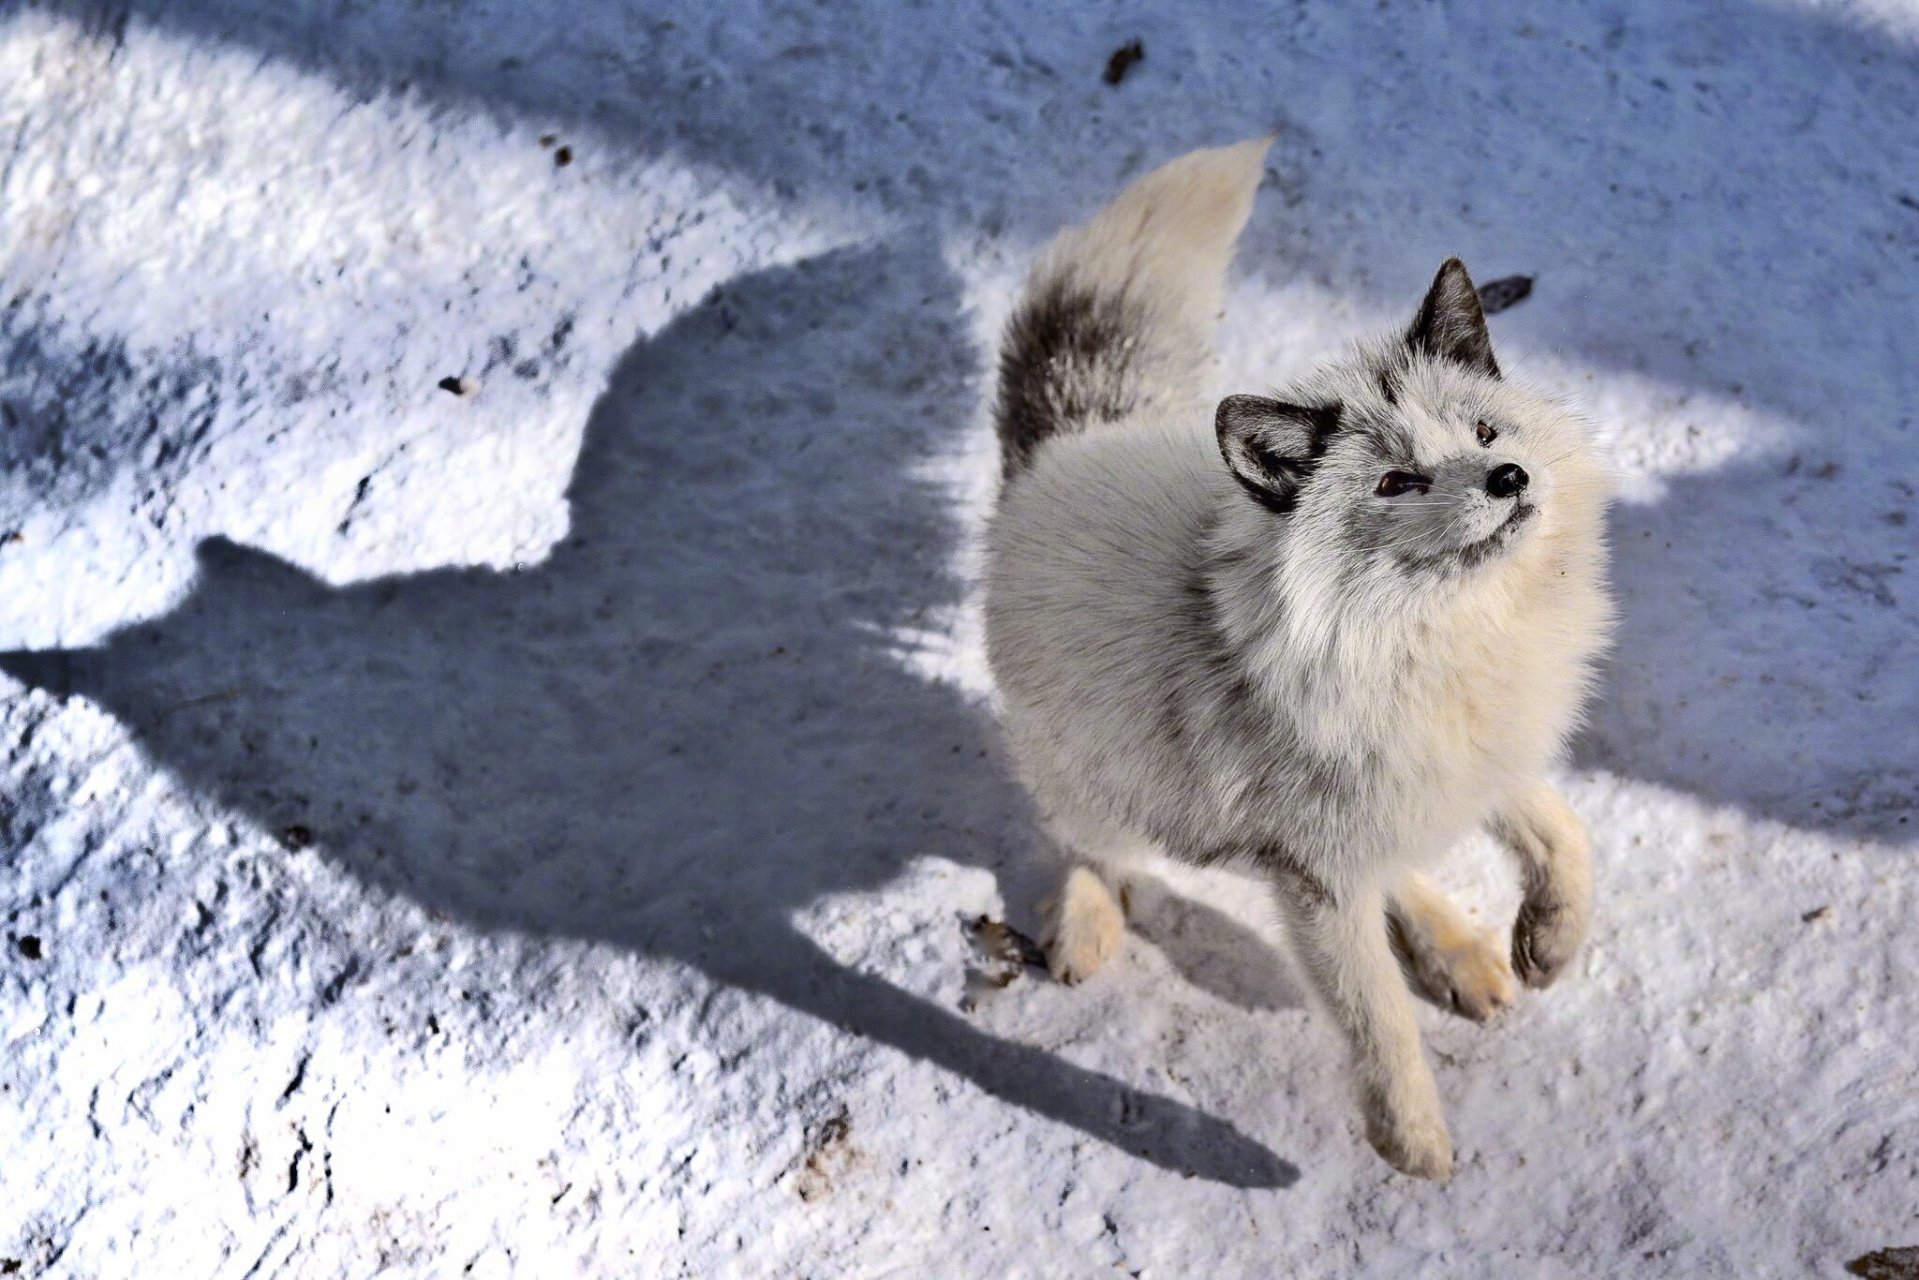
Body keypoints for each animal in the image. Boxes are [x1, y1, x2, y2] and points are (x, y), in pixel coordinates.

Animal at [982, 140, 1611, 1182]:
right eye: (1395, 482)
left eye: (1485, 433)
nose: (1508, 478)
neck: (1426, 639)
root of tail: (1073, 444)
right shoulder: (1315, 874)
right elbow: (1374, 1019)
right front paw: (1410, 1138)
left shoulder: (1471, 754)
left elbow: (1564, 833)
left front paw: (1549, 944)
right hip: (1099, 777)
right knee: (1092, 847)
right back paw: (1087, 920)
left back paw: (1457, 949)